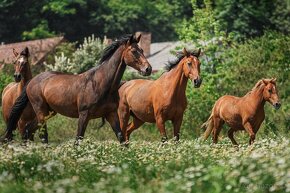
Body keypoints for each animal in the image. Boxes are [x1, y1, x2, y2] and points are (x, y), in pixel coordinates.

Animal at [2, 34, 152, 144]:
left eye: (142, 50)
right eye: (134, 51)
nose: (148, 69)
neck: (99, 83)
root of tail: (31, 81)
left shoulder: (111, 114)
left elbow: (122, 138)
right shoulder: (84, 115)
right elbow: (78, 140)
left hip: (49, 112)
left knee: (28, 131)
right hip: (41, 112)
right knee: (43, 136)